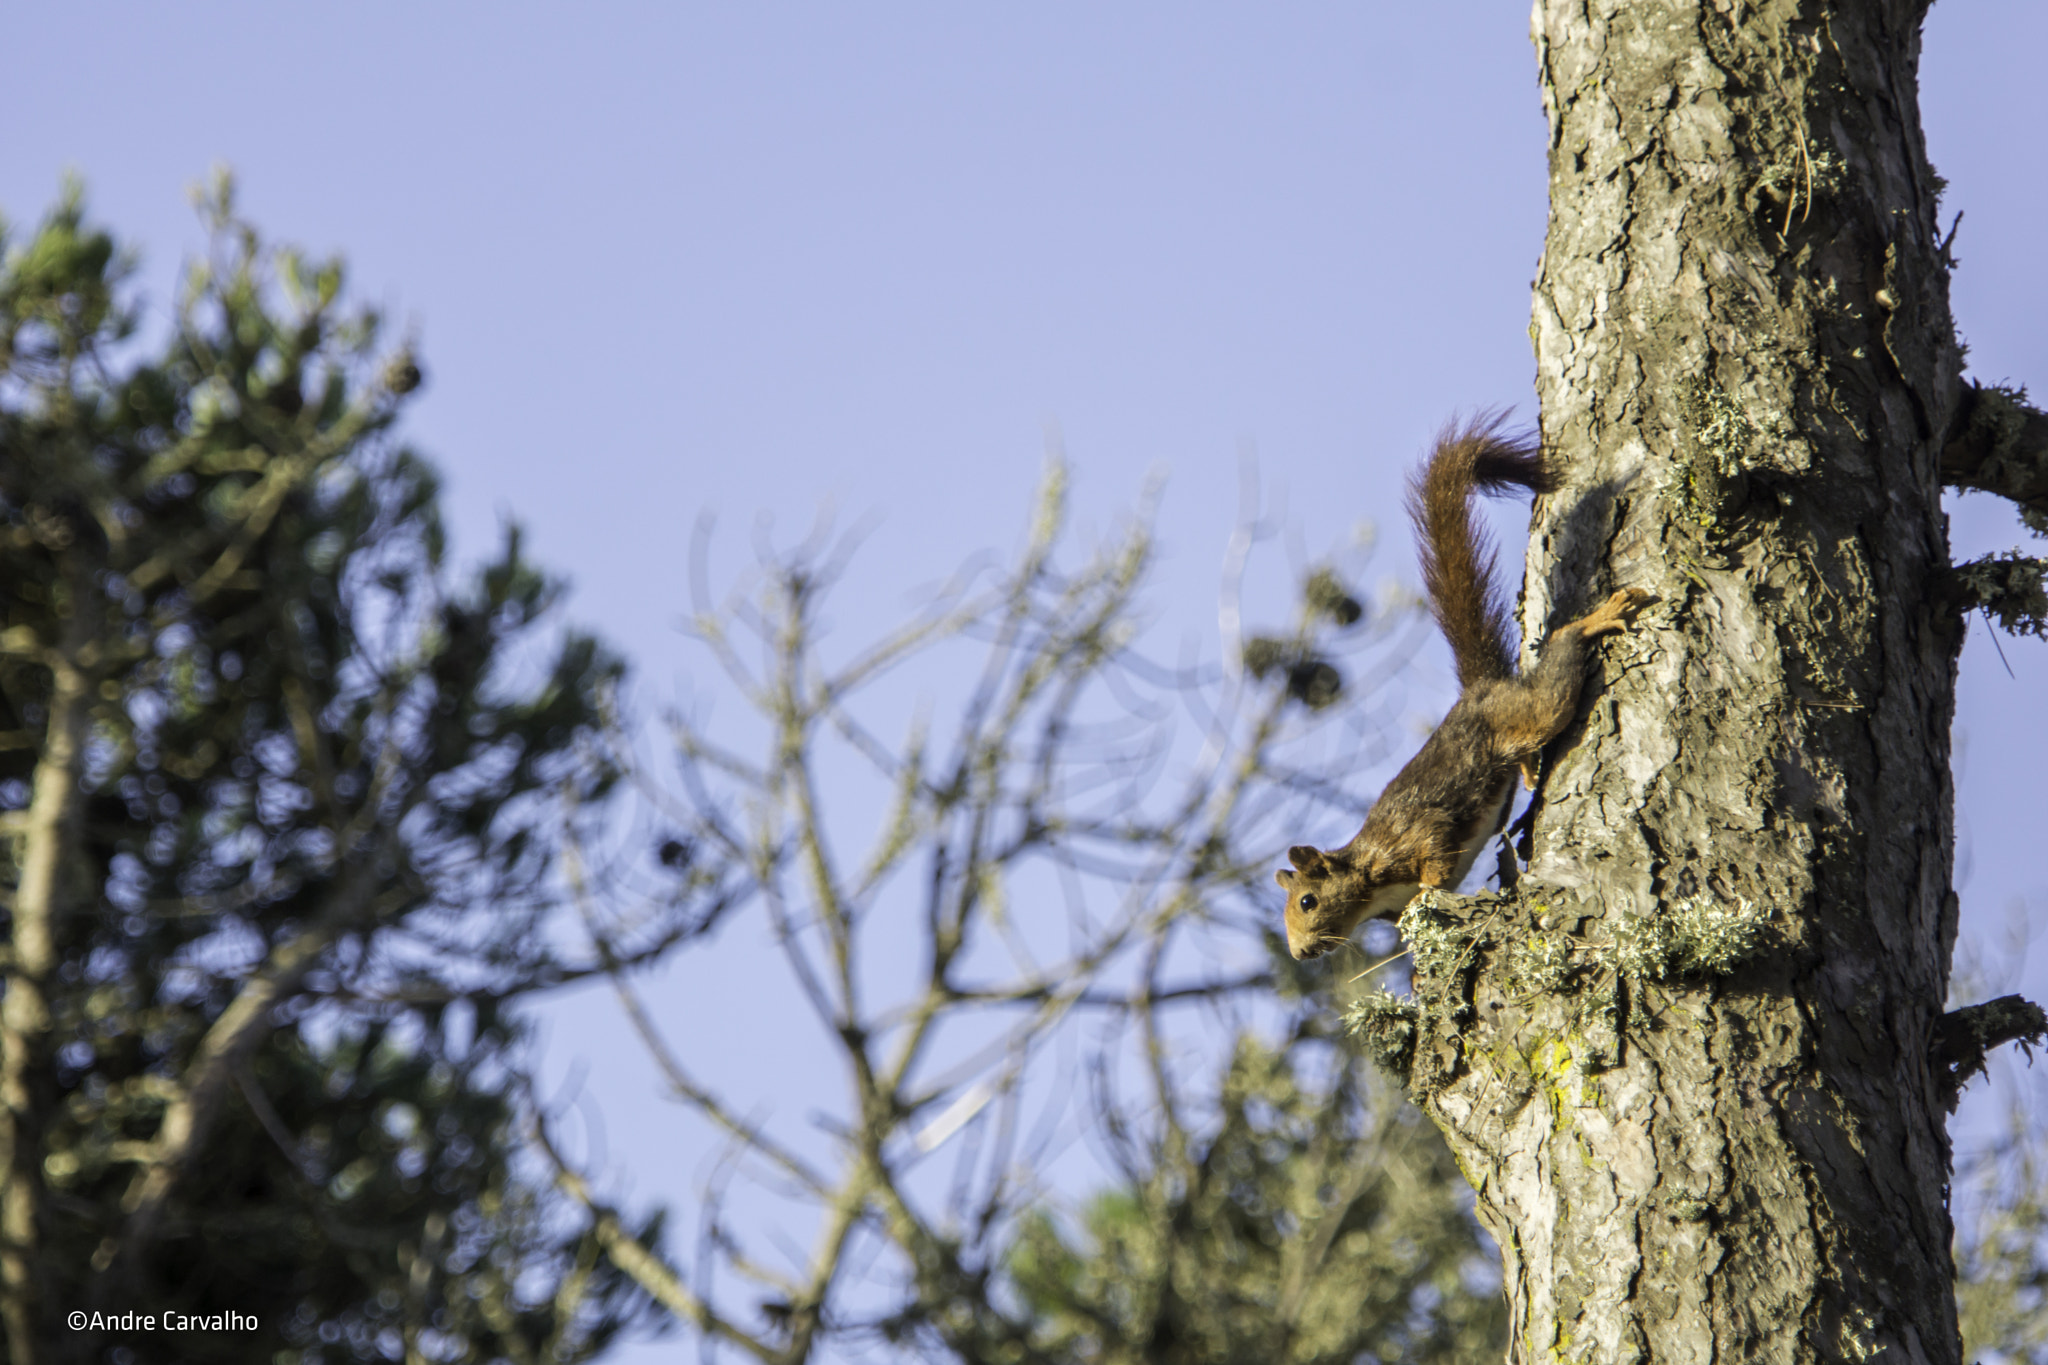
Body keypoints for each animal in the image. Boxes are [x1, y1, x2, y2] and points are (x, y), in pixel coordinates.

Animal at [1277, 417, 1646, 961]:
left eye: (1307, 901)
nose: (1300, 953)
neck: (1369, 880)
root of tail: (1480, 690)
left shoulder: (1411, 837)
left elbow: (1434, 851)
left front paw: (1429, 891)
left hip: (1527, 713)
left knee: (1555, 671)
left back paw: (1593, 621)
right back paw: (1529, 771)